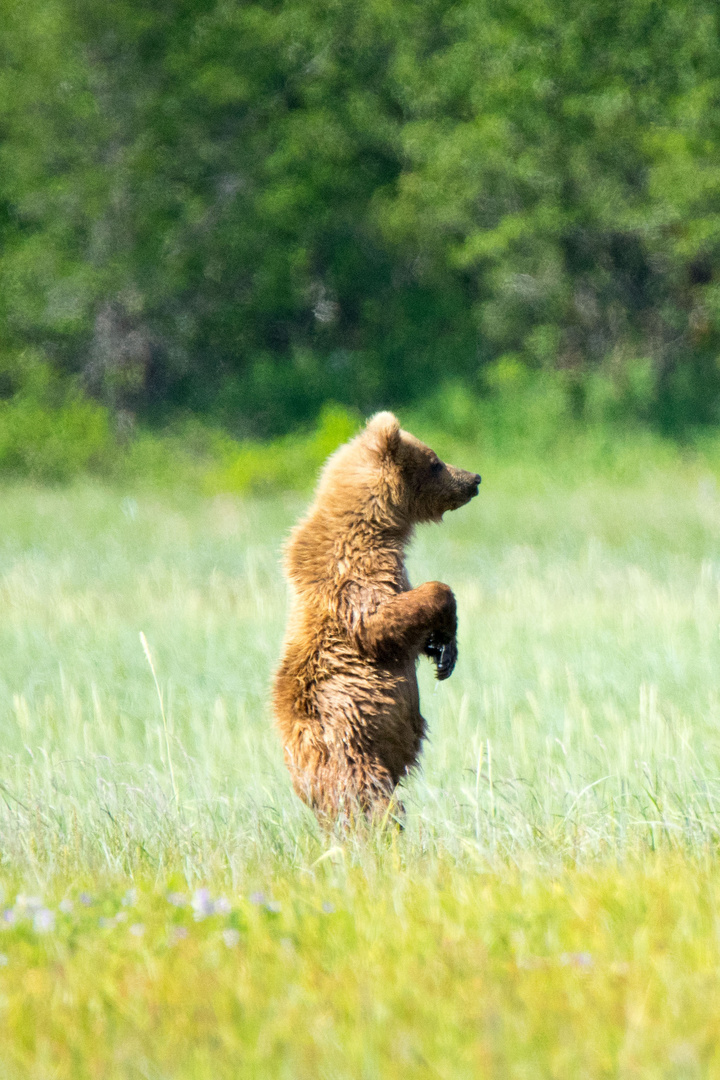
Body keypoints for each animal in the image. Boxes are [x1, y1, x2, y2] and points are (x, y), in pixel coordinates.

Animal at [273, 408, 481, 820]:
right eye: (434, 462)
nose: (474, 479)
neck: (379, 525)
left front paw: (442, 649)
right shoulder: (355, 570)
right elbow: (377, 621)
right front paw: (444, 625)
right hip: (351, 750)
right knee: (371, 805)